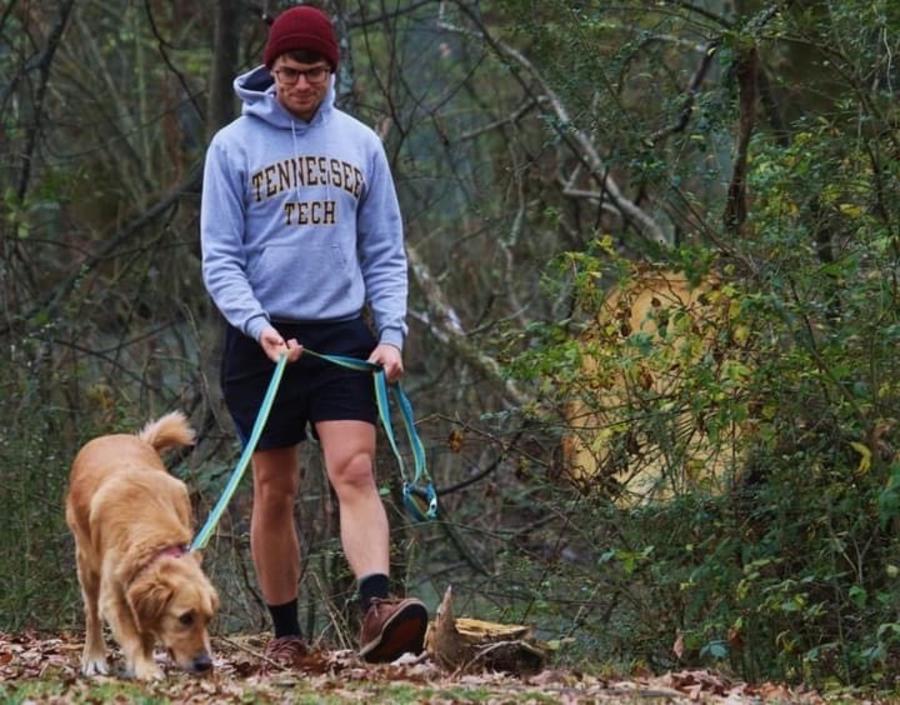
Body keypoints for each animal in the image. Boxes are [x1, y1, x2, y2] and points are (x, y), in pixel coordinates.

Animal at [65, 410, 220, 680]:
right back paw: (94, 657)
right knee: (91, 613)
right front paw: (146, 668)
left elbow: (145, 632)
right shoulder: (113, 598)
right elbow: (131, 637)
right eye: (185, 618)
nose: (205, 664)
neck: (154, 540)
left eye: (207, 619)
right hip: (86, 563)